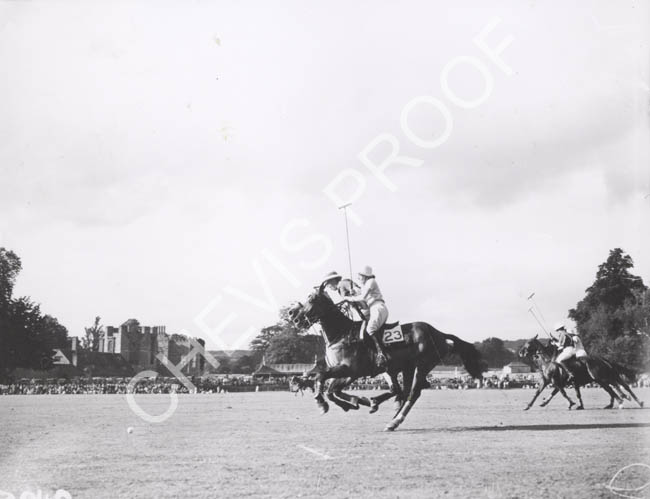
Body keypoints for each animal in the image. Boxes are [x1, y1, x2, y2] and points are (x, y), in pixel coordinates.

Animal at [288, 286, 480, 434]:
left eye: (312, 298)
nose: (294, 316)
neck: (341, 334)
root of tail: (439, 333)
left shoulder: (350, 369)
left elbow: (321, 379)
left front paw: (322, 403)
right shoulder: (345, 372)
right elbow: (331, 389)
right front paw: (354, 402)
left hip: (422, 365)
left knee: (413, 392)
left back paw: (394, 420)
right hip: (406, 367)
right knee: (404, 390)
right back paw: (387, 414)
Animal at [516, 336, 644, 410]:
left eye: (529, 342)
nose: (520, 352)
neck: (548, 361)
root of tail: (604, 360)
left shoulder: (556, 381)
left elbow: (562, 393)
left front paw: (572, 403)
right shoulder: (549, 381)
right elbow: (539, 392)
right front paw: (530, 405)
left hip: (602, 378)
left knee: (614, 389)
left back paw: (622, 401)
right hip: (608, 377)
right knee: (619, 387)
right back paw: (631, 401)